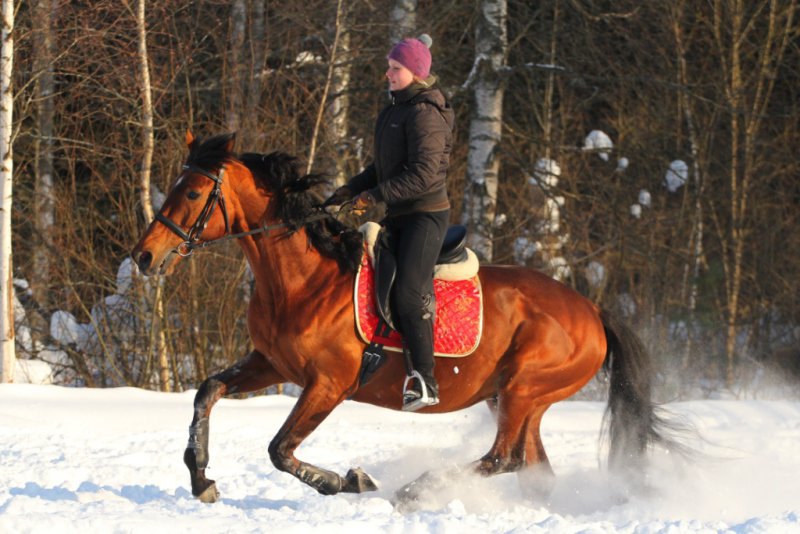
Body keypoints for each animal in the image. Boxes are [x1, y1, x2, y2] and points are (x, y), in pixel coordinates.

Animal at [131, 134, 680, 506]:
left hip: (524, 389)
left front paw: (351, 480)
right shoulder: (272, 364)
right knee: (533, 468)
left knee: (503, 457)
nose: (144, 257)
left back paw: (415, 490)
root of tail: (592, 310)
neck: (303, 280)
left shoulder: (329, 383)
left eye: (194, 193)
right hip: (517, 398)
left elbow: (280, 450)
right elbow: (207, 391)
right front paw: (201, 478)